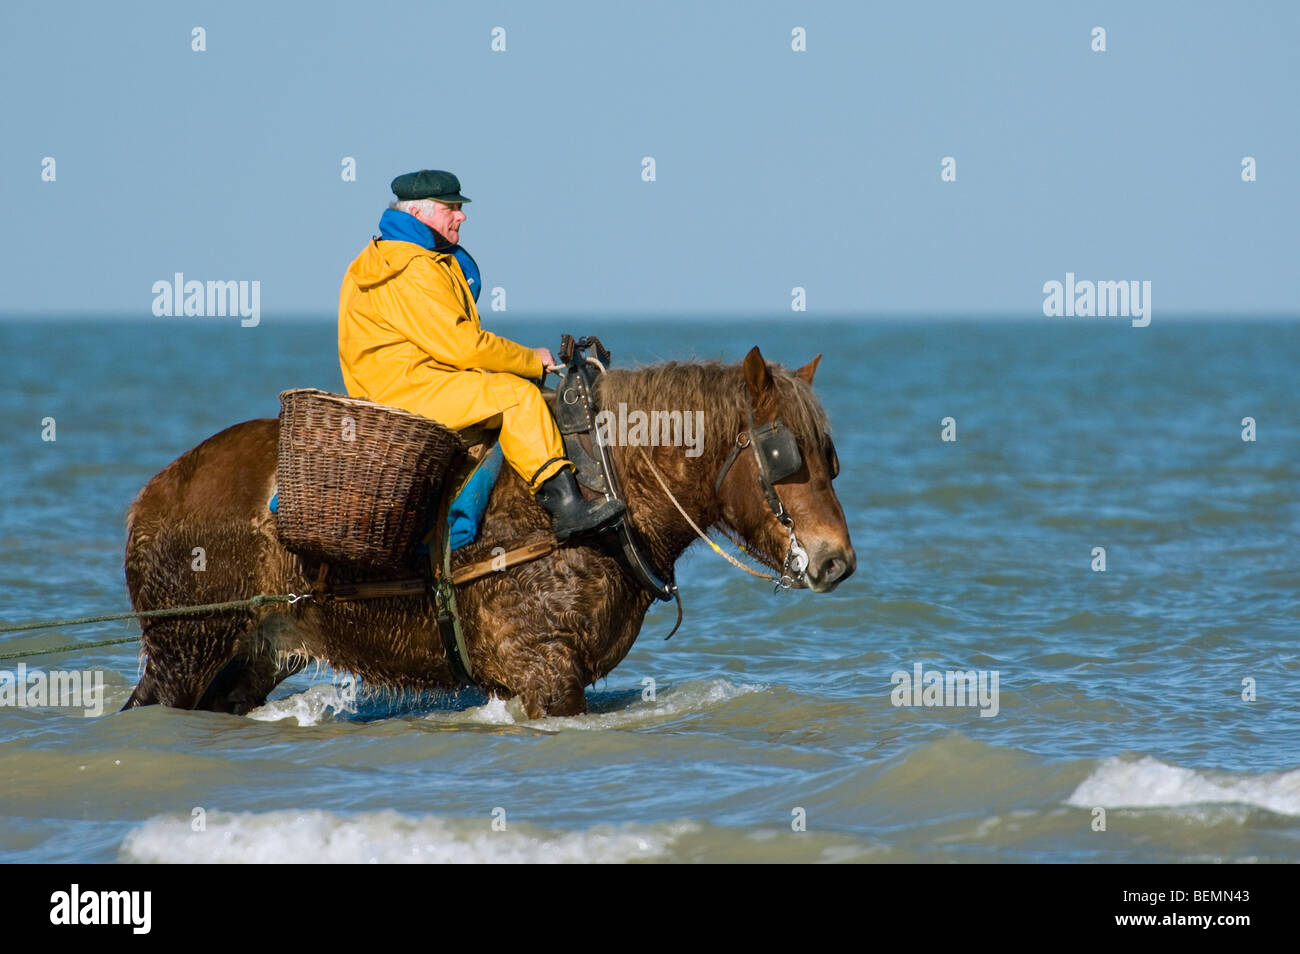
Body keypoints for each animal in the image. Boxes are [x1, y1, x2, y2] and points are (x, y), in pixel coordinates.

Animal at [120, 346, 856, 719]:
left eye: (831, 457)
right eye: (784, 455)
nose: (836, 561)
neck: (604, 482)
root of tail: (154, 492)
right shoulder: (545, 673)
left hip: (253, 653)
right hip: (186, 646)